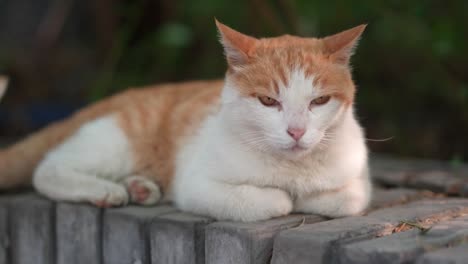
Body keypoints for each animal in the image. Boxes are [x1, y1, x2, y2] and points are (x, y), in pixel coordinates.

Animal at [0, 20, 372, 222]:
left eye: (319, 101)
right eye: (268, 101)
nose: (296, 131)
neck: (292, 170)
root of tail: (117, 97)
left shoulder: (358, 180)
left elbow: (347, 198)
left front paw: (310, 196)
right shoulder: (197, 185)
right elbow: (274, 201)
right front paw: (288, 197)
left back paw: (141, 188)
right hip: (117, 141)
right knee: (48, 168)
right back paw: (106, 190)